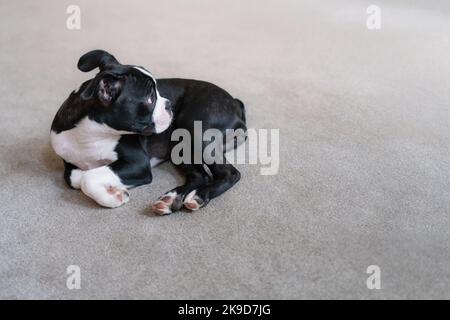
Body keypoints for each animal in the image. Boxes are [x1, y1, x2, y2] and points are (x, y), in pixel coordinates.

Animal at [51, 50, 248, 215]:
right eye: (150, 99)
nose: (169, 104)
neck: (92, 134)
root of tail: (234, 102)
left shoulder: (138, 164)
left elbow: (88, 177)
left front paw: (113, 195)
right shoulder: (70, 162)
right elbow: (75, 178)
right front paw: (114, 188)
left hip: (195, 130)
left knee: (229, 174)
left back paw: (199, 196)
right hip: (180, 145)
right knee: (201, 176)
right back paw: (171, 199)